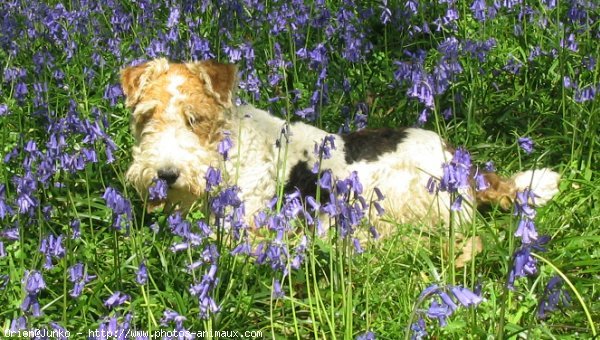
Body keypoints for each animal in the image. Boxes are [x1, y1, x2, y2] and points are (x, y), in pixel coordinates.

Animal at [119, 57, 560, 242]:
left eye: (195, 118)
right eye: (146, 116)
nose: (165, 176)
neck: (229, 145)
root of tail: (464, 162)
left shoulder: (241, 222)